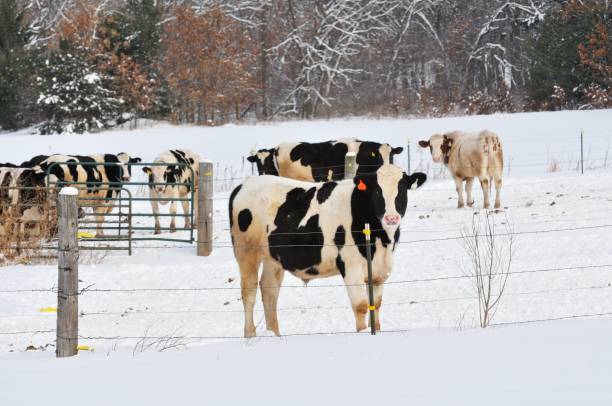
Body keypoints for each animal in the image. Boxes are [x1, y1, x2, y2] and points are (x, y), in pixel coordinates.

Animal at [228, 163, 426, 338]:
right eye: (377, 191)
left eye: (402, 190)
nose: (391, 217)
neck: (382, 241)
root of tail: (244, 185)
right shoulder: (351, 266)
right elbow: (361, 306)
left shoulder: (379, 271)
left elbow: (375, 305)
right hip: (246, 251)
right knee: (249, 292)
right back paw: (250, 335)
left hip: (272, 258)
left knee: (269, 291)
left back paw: (274, 335)